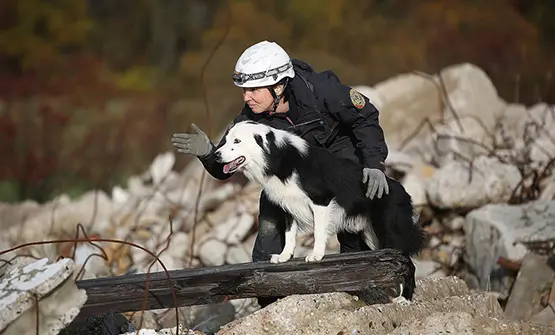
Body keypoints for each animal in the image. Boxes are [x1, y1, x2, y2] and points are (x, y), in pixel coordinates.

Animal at [213, 121, 426, 302]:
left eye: (237, 141)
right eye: (226, 140)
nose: (216, 155)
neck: (276, 157)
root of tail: (403, 192)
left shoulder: (321, 201)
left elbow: (318, 231)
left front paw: (316, 255)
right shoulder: (288, 205)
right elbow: (289, 234)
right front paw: (284, 256)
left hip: (389, 232)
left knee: (408, 264)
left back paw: (405, 299)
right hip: (372, 237)